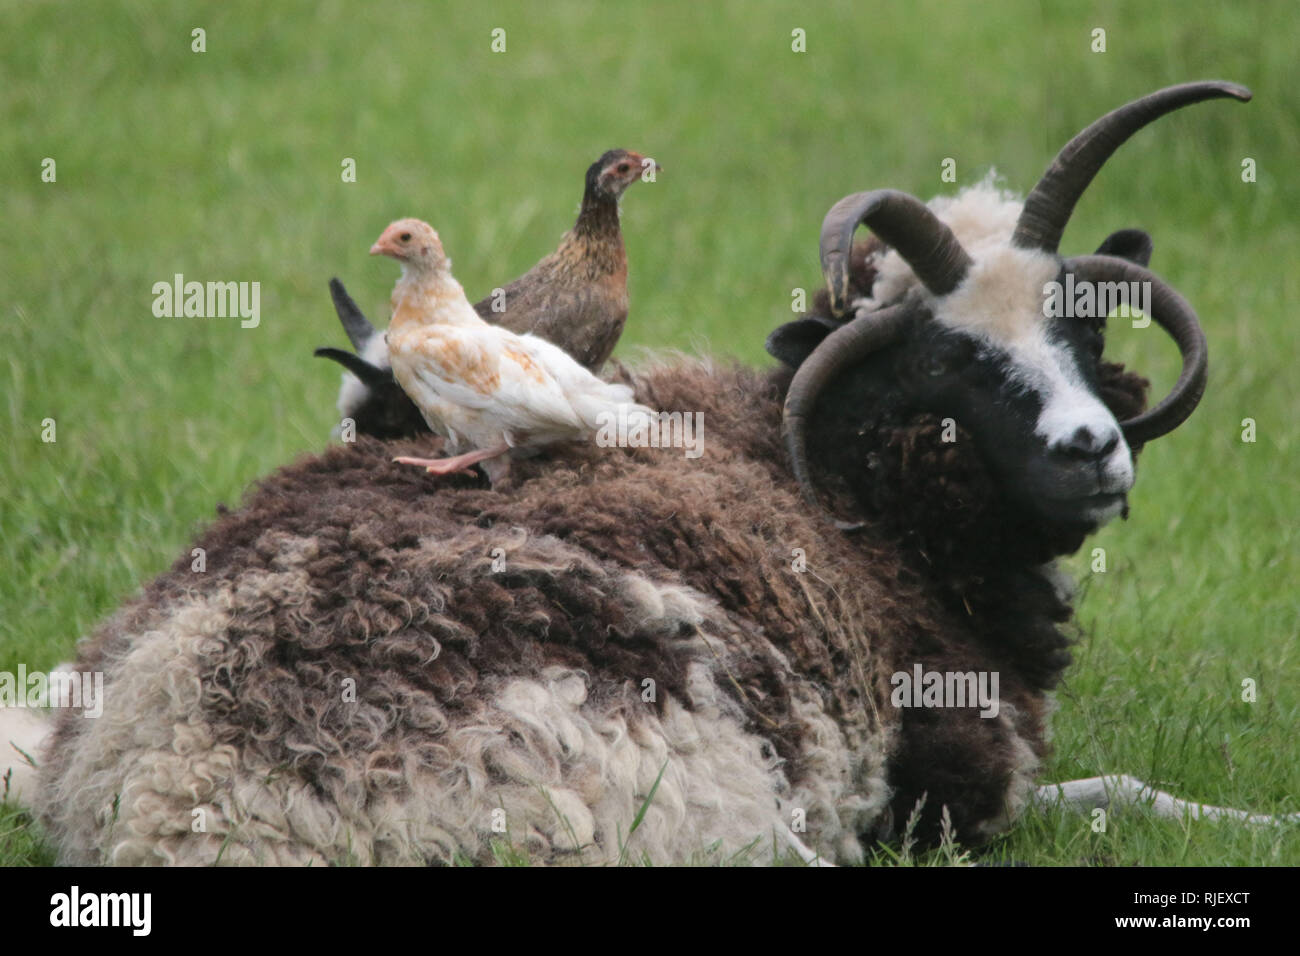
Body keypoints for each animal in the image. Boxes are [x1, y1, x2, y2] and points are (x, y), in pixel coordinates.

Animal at [4, 81, 1291, 866]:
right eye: (941, 362)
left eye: (1082, 325)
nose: (1092, 448)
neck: (861, 500)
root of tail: (175, 791)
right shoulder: (944, 775)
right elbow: (1115, 790)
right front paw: (1251, 817)